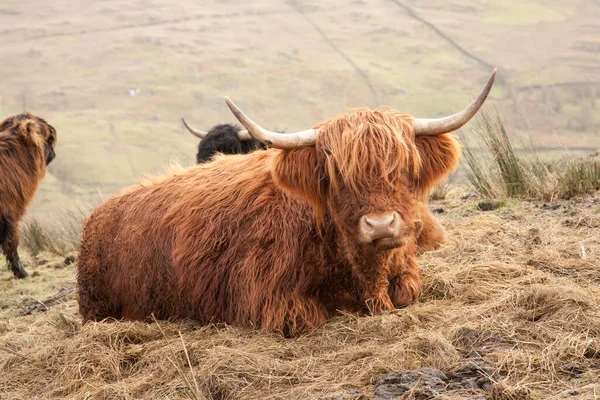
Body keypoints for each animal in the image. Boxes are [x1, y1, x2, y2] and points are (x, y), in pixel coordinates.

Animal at [76, 69, 496, 334]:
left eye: (405, 165)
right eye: (335, 171)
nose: (381, 225)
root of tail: (99, 214)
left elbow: (408, 291)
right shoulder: (270, 302)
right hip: (99, 306)